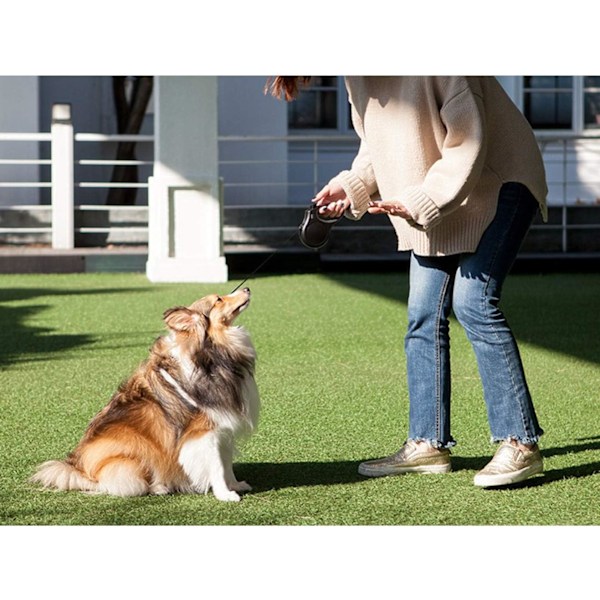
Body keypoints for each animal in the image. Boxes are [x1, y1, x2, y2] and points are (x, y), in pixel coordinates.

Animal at [31, 286, 258, 502]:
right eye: (218, 299)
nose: (247, 289)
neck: (211, 352)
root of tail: (80, 470)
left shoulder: (223, 428)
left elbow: (226, 463)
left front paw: (235, 485)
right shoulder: (204, 433)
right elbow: (217, 466)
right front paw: (226, 495)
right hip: (135, 456)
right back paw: (158, 488)